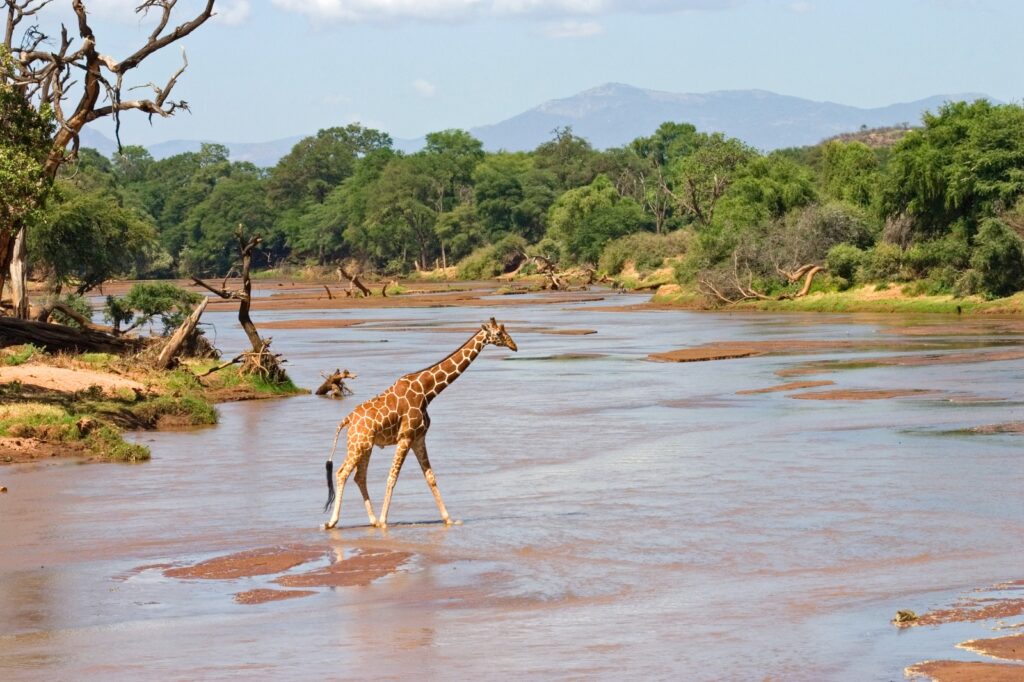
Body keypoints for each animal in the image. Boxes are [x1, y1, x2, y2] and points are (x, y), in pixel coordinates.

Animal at [322, 317, 518, 530]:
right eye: (499, 333)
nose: (514, 346)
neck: (427, 391)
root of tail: (347, 419)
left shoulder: (419, 438)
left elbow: (430, 477)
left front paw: (449, 519)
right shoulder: (405, 436)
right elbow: (392, 478)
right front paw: (384, 521)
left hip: (365, 446)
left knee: (359, 476)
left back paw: (372, 520)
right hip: (358, 444)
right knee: (342, 473)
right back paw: (333, 522)